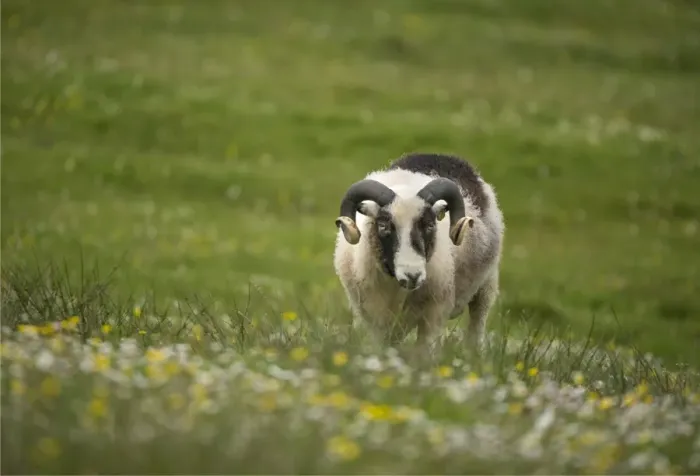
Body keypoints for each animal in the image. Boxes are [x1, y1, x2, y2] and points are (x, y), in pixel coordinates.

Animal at [333, 152, 505, 356]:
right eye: (383, 226)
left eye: (430, 225)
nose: (412, 275)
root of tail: (439, 155)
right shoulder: (371, 317)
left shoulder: (435, 312)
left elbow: (425, 353)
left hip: (487, 284)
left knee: (477, 322)